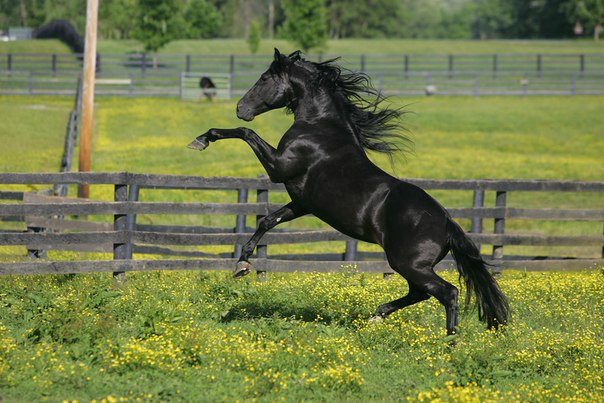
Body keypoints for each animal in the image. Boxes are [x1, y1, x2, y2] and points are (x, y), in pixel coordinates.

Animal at [186, 49, 508, 334]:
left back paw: (450, 342)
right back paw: (377, 315)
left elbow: (246, 134)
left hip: (408, 264)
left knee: (447, 292)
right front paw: (242, 264)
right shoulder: (302, 203)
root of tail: (447, 222)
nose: (241, 108)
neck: (319, 127)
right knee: (420, 293)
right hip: (411, 266)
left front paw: (201, 139)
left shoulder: (278, 167)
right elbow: (267, 220)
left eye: (265, 78)